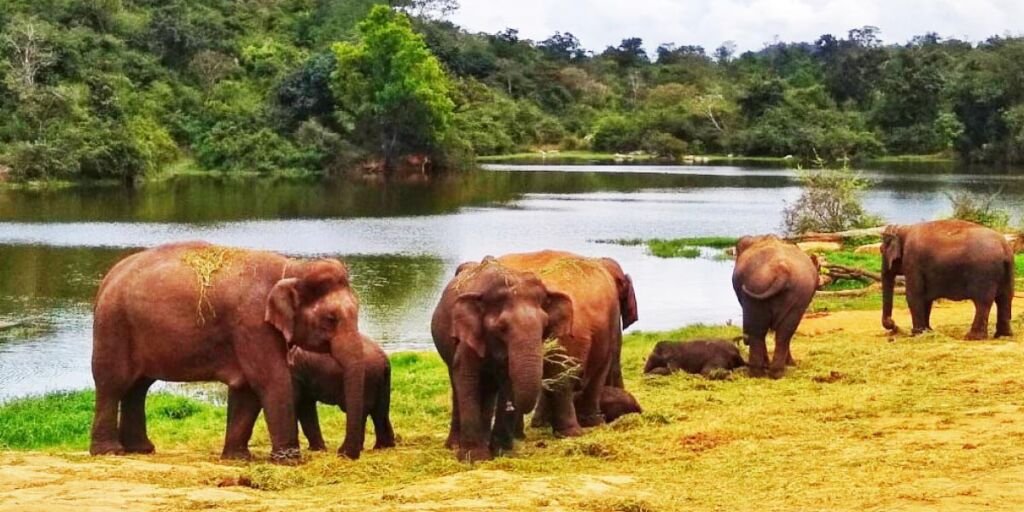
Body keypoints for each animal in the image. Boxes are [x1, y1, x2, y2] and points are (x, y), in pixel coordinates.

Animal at [90, 241, 366, 462]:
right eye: (331, 319)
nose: (342, 452)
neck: (294, 268)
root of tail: (107, 279)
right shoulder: (252, 323)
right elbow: (270, 379)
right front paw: (289, 460)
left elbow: (246, 388)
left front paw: (237, 457)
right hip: (113, 326)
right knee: (112, 384)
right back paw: (110, 452)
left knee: (138, 387)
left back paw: (141, 450)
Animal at [431, 256, 573, 462]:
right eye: (501, 328)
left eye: (545, 326)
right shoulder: (468, 337)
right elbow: (466, 378)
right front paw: (475, 457)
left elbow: (506, 381)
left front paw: (501, 452)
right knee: (457, 385)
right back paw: (455, 446)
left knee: (489, 390)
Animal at [732, 235, 818, 378]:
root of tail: (782, 271)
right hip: (797, 293)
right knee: (785, 332)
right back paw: (775, 372)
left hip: (756, 287)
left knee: (758, 331)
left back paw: (758, 373)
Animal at [881, 220, 1014, 339]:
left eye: (881, 250)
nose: (893, 324)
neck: (904, 229)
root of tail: (1005, 247)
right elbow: (926, 298)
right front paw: (928, 332)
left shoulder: (912, 261)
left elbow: (914, 295)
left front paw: (917, 334)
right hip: (1007, 271)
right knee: (1005, 298)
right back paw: (1003, 335)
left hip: (984, 273)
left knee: (983, 301)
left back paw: (973, 337)